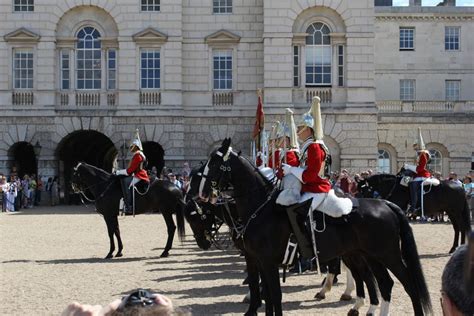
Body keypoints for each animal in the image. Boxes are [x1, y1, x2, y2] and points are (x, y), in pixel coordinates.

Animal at [194, 139, 432, 316]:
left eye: (213, 164)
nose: (202, 194)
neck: (258, 208)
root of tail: (384, 203)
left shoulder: (267, 261)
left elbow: (273, 294)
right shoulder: (255, 259)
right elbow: (264, 292)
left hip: (388, 255)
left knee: (409, 284)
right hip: (368, 255)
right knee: (384, 284)